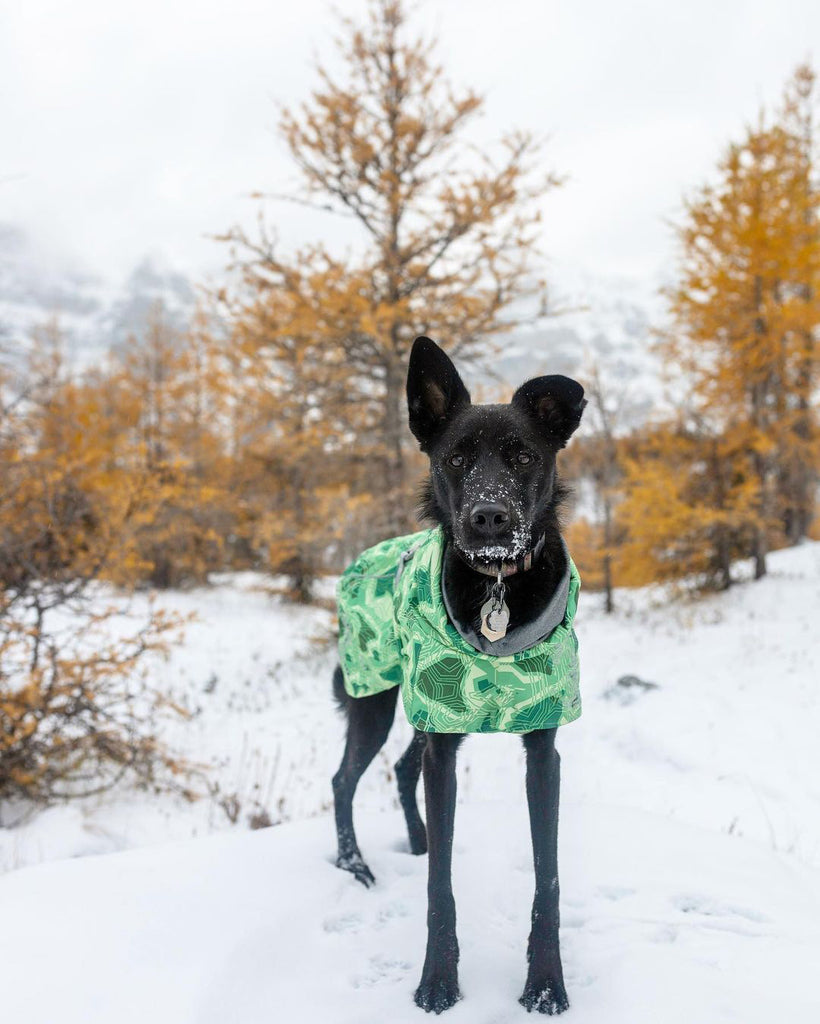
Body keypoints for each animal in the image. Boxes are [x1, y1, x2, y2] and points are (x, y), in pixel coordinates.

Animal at [329, 337, 585, 1015]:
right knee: (344, 779)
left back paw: (414, 842)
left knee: (399, 769)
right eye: (456, 457)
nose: (489, 519)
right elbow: (439, 889)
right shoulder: (443, 740)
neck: (496, 586)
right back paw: (355, 866)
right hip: (377, 696)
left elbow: (548, 879)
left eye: (523, 454)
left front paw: (546, 985)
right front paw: (438, 983)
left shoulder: (543, 748)